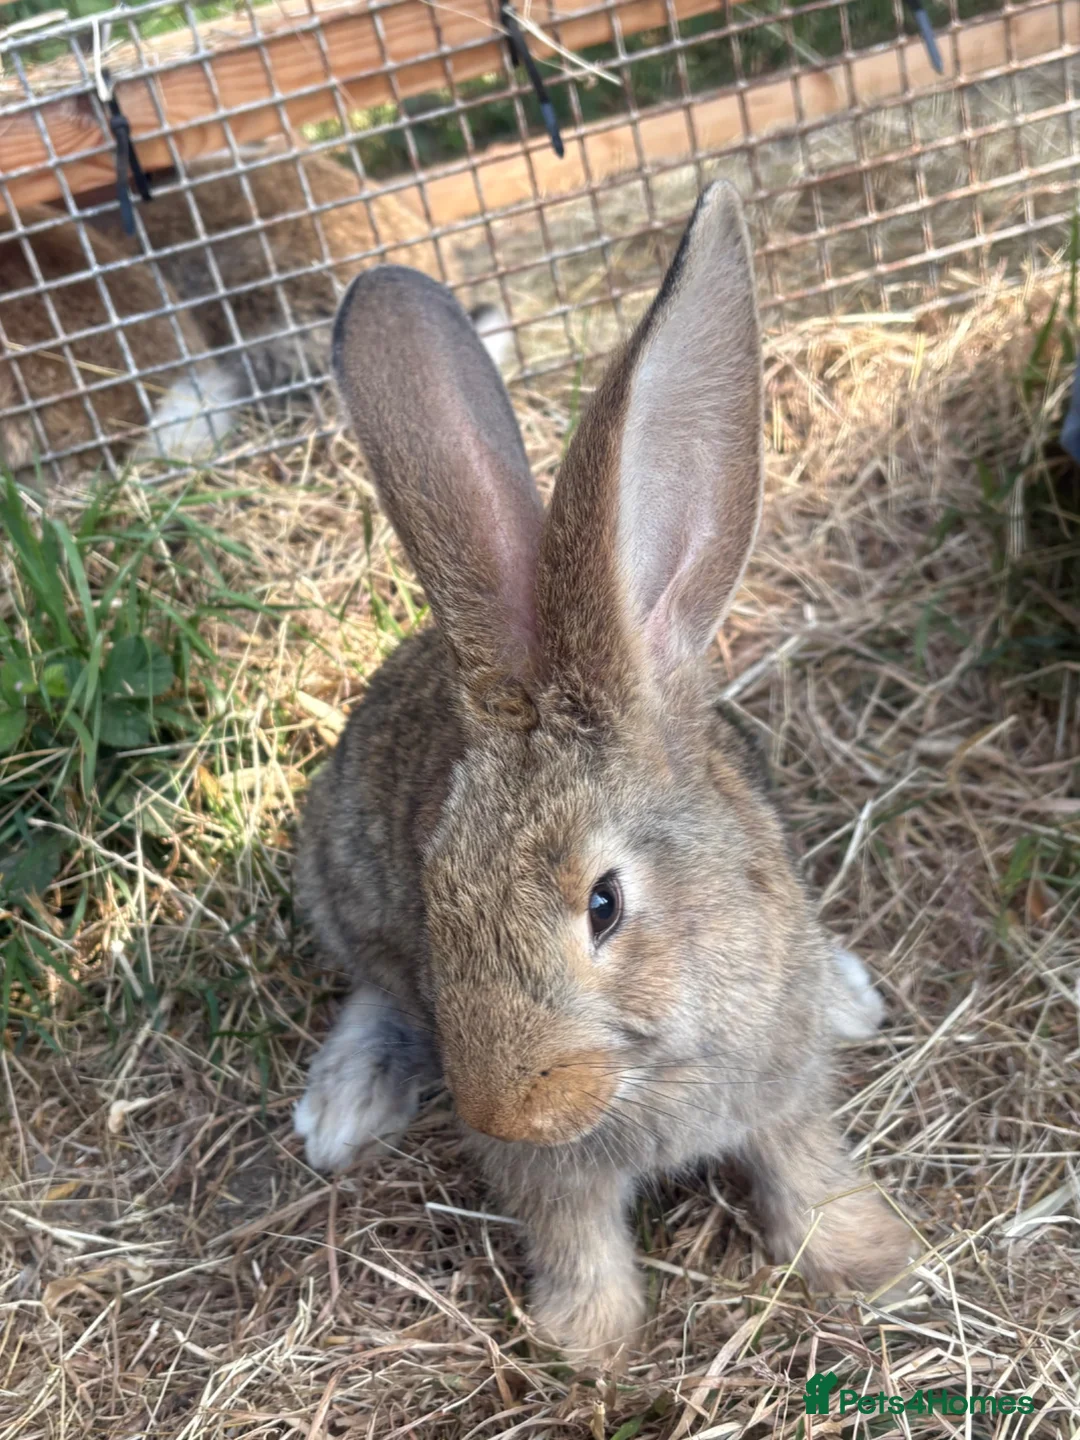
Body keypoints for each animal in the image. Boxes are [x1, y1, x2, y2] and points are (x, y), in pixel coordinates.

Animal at [292, 181, 914, 1363]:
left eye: (604, 905)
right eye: (439, 895)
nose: (509, 1109)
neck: (656, 1070)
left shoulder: (781, 1091)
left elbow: (804, 1167)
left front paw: (865, 1256)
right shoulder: (554, 1176)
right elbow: (575, 1234)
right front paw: (588, 1341)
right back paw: (342, 1110)